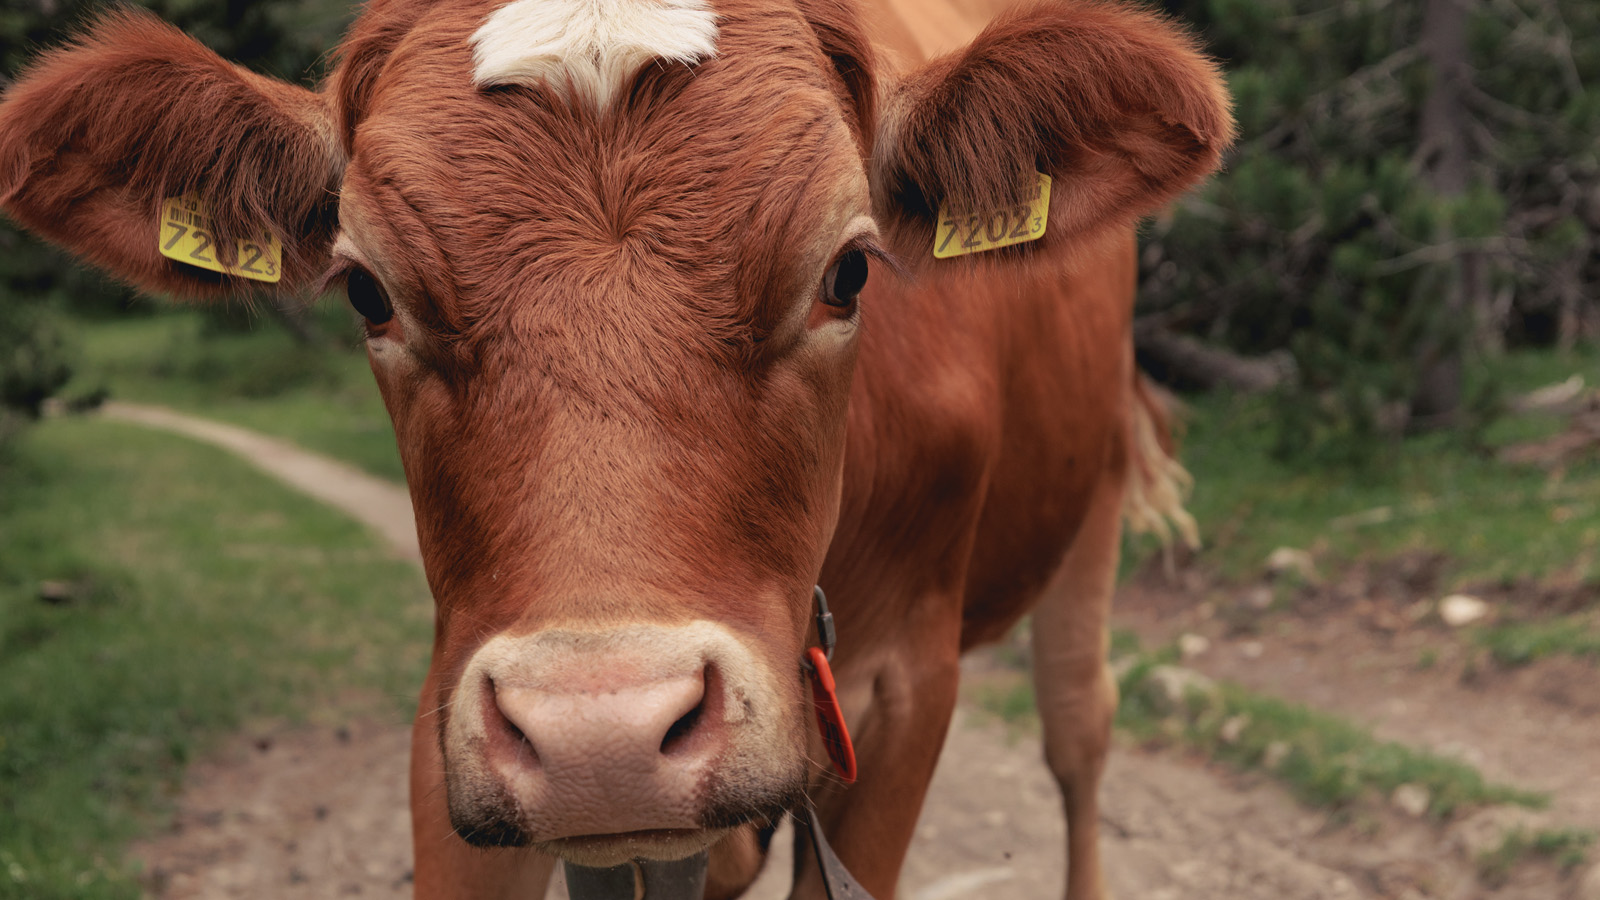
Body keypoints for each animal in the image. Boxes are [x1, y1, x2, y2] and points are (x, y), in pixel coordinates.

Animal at [0, 0, 1230, 897]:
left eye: (848, 270)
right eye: (365, 291)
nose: (602, 736)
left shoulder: (901, 691)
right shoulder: (457, 717)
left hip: (1088, 510)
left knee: (1079, 736)